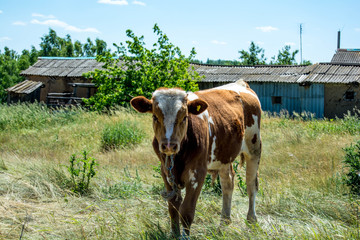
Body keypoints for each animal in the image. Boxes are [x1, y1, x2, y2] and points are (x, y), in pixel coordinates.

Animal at [131, 79, 260, 236]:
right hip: (224, 156)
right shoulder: (166, 172)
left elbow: (186, 211)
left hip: (254, 148)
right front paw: (175, 234)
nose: (169, 145)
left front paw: (184, 236)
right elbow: (173, 208)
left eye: (185, 117)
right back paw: (224, 223)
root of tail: (240, 83)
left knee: (251, 184)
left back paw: (251, 220)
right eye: (155, 117)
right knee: (228, 183)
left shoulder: (197, 172)